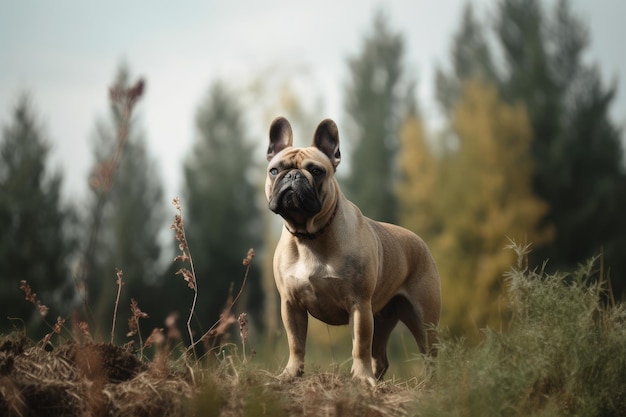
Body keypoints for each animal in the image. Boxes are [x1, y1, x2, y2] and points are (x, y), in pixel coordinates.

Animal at [266, 116, 442, 384]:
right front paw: (291, 374)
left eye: (316, 171)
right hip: (382, 318)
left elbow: (359, 344)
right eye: (274, 170)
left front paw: (360, 378)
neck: (310, 236)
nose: (294, 175)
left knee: (428, 355)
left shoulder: (358, 305)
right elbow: (296, 343)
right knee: (380, 357)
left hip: (422, 319)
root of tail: (419, 240)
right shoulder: (291, 304)